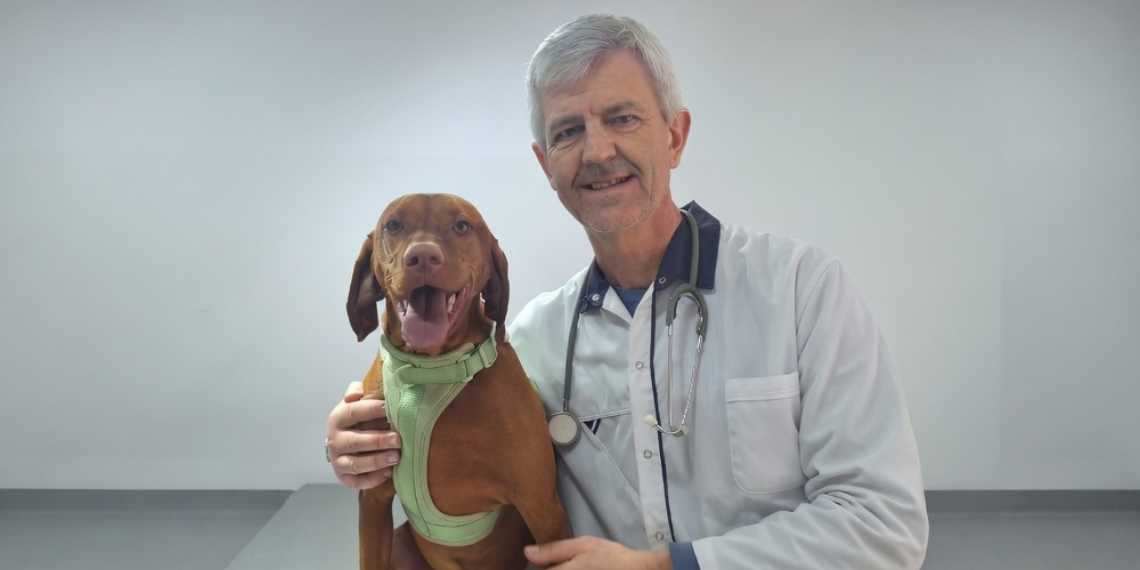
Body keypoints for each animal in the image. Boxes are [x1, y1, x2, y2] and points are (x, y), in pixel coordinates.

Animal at [346, 193, 569, 570]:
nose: (423, 257)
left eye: (462, 226)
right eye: (393, 224)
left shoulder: (541, 505)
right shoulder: (373, 497)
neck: (427, 369)